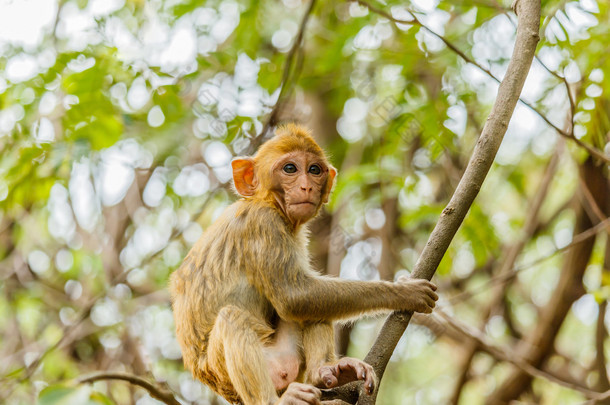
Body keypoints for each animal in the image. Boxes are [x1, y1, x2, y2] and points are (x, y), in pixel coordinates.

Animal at [170, 124, 436, 404]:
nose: (307, 187)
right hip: (237, 370)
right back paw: (275, 400)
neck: (267, 202)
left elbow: (305, 297)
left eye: (314, 170)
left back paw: (325, 371)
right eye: (290, 168)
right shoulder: (263, 223)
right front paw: (405, 292)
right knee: (236, 317)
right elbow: (293, 296)